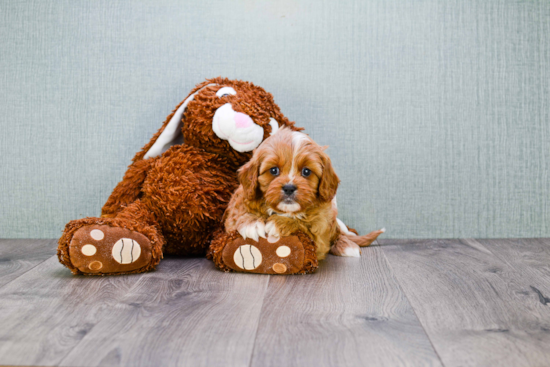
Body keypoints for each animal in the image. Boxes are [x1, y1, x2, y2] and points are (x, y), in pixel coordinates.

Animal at [224, 128, 384, 260]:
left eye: (306, 171)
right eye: (274, 170)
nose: (289, 188)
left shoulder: (320, 233)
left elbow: (304, 225)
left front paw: (279, 223)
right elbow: (240, 213)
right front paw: (251, 223)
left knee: (339, 233)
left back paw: (347, 245)